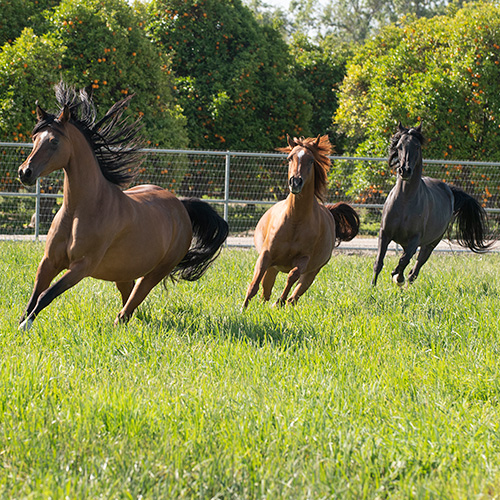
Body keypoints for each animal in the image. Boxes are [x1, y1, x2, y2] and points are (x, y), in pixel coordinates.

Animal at [17, 84, 228, 330]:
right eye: (34, 138)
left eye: (54, 141)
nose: (25, 172)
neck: (79, 210)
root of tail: (181, 206)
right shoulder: (49, 262)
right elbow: (34, 296)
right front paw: (21, 324)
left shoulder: (82, 266)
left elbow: (46, 295)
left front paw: (26, 325)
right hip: (124, 272)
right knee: (129, 300)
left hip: (156, 272)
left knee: (132, 303)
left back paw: (119, 323)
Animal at [242, 134, 360, 308]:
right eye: (290, 158)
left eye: (311, 160)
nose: (295, 182)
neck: (295, 221)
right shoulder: (266, 255)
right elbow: (254, 284)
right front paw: (243, 309)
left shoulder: (304, 259)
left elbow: (292, 276)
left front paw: (279, 302)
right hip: (273, 268)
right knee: (265, 292)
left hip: (311, 273)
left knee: (294, 297)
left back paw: (281, 303)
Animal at [372, 123, 492, 288]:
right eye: (399, 146)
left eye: (417, 146)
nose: (405, 170)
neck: (405, 201)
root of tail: (449, 190)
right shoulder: (384, 233)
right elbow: (379, 262)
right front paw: (372, 287)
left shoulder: (415, 239)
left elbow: (404, 261)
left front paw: (397, 277)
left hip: (430, 244)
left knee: (414, 271)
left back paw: (404, 283)